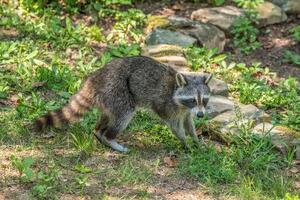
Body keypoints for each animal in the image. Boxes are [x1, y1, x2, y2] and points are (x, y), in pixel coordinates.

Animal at [34, 55, 213, 152]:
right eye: (192, 99)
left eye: (204, 99)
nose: (201, 115)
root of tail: (95, 79)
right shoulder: (166, 105)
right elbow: (176, 127)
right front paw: (185, 143)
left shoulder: (186, 111)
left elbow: (188, 123)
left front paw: (195, 140)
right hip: (117, 90)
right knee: (124, 115)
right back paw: (110, 138)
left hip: (108, 99)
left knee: (107, 116)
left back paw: (99, 132)